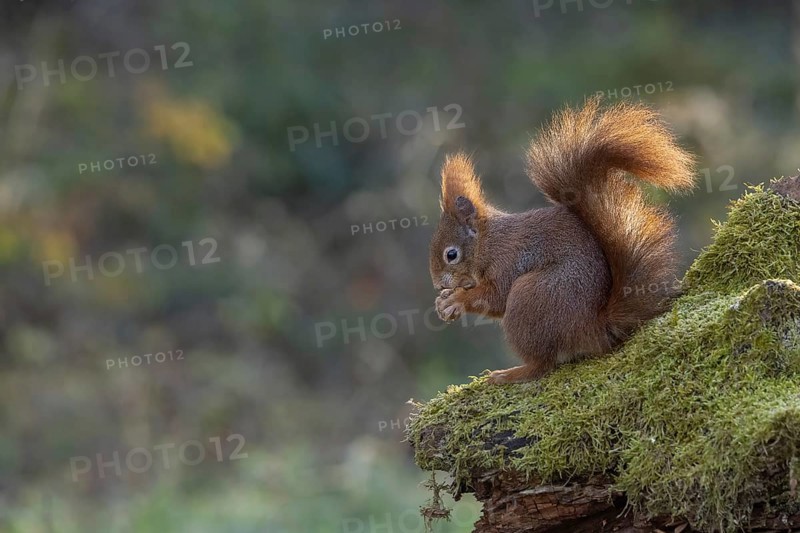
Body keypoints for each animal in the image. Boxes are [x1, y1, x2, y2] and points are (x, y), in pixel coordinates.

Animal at [428, 97, 696, 384]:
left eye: (451, 254)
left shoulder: (509, 260)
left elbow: (495, 297)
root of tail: (591, 327)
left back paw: (511, 373)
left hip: (530, 297)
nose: (437, 285)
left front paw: (455, 300)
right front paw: (443, 301)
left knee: (542, 364)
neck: (488, 243)